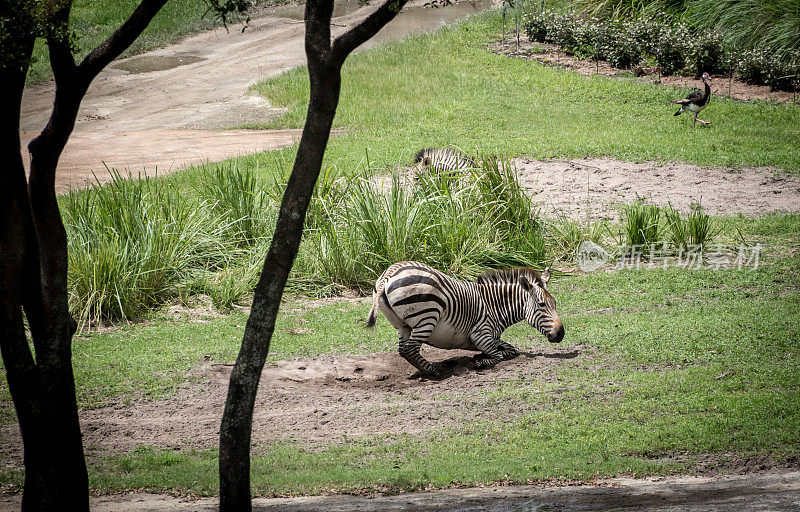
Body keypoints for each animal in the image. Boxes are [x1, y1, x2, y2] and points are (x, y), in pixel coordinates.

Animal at [366, 260, 564, 376]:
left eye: (554, 303)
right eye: (542, 305)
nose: (561, 334)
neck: (495, 306)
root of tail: (389, 273)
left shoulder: (491, 337)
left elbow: (510, 350)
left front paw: (481, 356)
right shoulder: (481, 334)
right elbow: (498, 355)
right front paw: (480, 362)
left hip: (402, 325)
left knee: (403, 349)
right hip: (427, 316)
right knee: (410, 349)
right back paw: (435, 371)